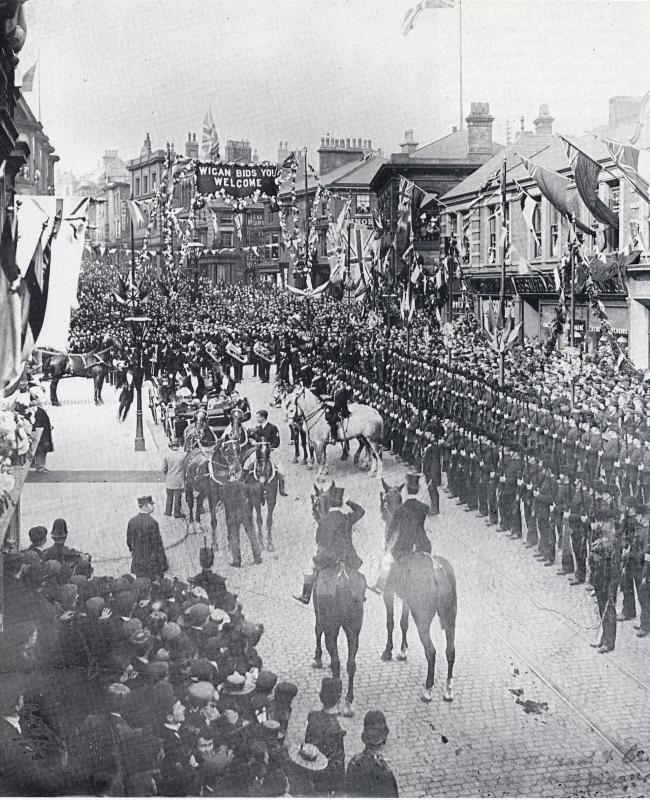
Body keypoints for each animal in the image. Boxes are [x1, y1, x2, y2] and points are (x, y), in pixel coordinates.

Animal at [378, 478, 454, 704]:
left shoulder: (388, 594)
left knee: (432, 651)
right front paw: (402, 651)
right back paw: (448, 689)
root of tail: (437, 572)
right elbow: (404, 623)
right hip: (450, 618)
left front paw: (388, 651)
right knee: (450, 650)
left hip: (423, 619)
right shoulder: (406, 600)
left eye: (384, 500)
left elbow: (391, 622)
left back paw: (428, 690)